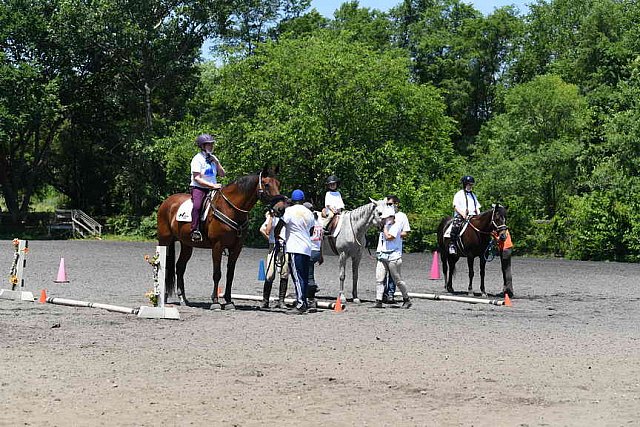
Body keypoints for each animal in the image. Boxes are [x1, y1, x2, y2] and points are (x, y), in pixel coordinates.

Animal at [156, 166, 284, 310]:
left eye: (278, 183)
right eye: (267, 184)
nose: (281, 208)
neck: (231, 209)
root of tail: (167, 202)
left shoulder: (237, 248)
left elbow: (230, 275)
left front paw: (228, 301)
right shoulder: (217, 246)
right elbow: (217, 273)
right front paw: (215, 302)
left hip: (187, 245)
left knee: (180, 267)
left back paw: (183, 298)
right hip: (164, 241)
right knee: (166, 266)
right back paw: (163, 298)